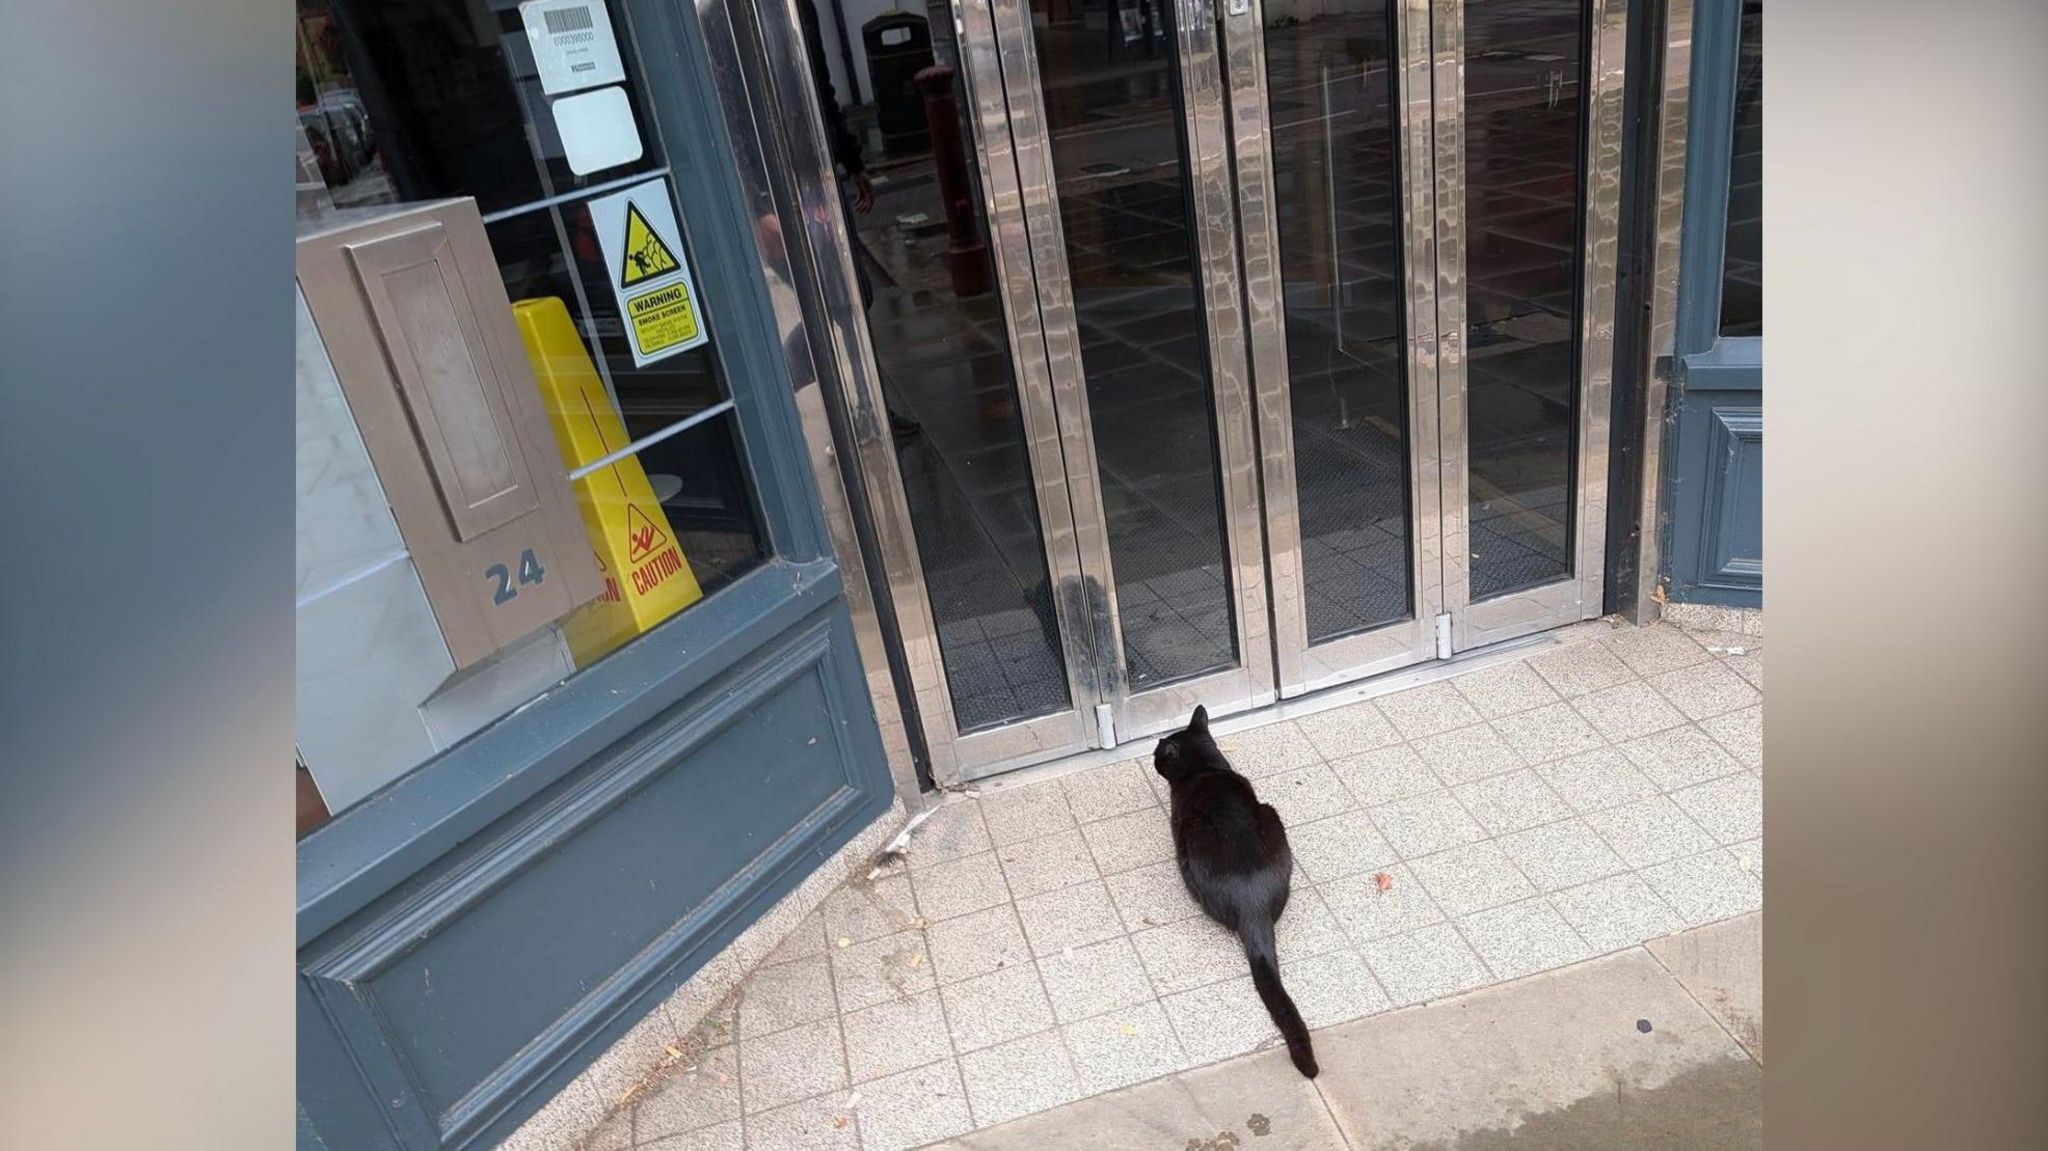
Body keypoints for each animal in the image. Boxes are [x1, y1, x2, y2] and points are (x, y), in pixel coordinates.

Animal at [1146, 700, 1318, 1073]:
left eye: (1158, 754)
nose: (1152, 756)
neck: (1204, 769)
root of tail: (1253, 907)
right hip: (1270, 816)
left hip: (1197, 838)